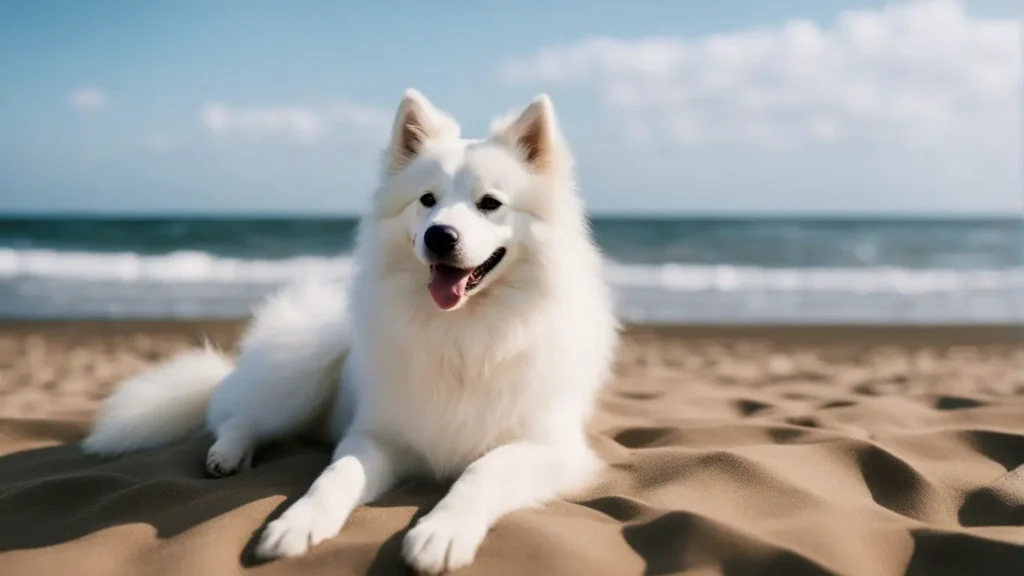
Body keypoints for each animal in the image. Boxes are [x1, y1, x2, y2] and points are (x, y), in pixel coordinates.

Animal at [81, 88, 614, 569]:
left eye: (490, 203)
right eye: (427, 200)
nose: (439, 236)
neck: (462, 332)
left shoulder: (550, 448)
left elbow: (484, 470)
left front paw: (441, 532)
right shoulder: (375, 436)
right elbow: (337, 474)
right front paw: (296, 523)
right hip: (305, 366)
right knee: (240, 416)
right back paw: (227, 454)